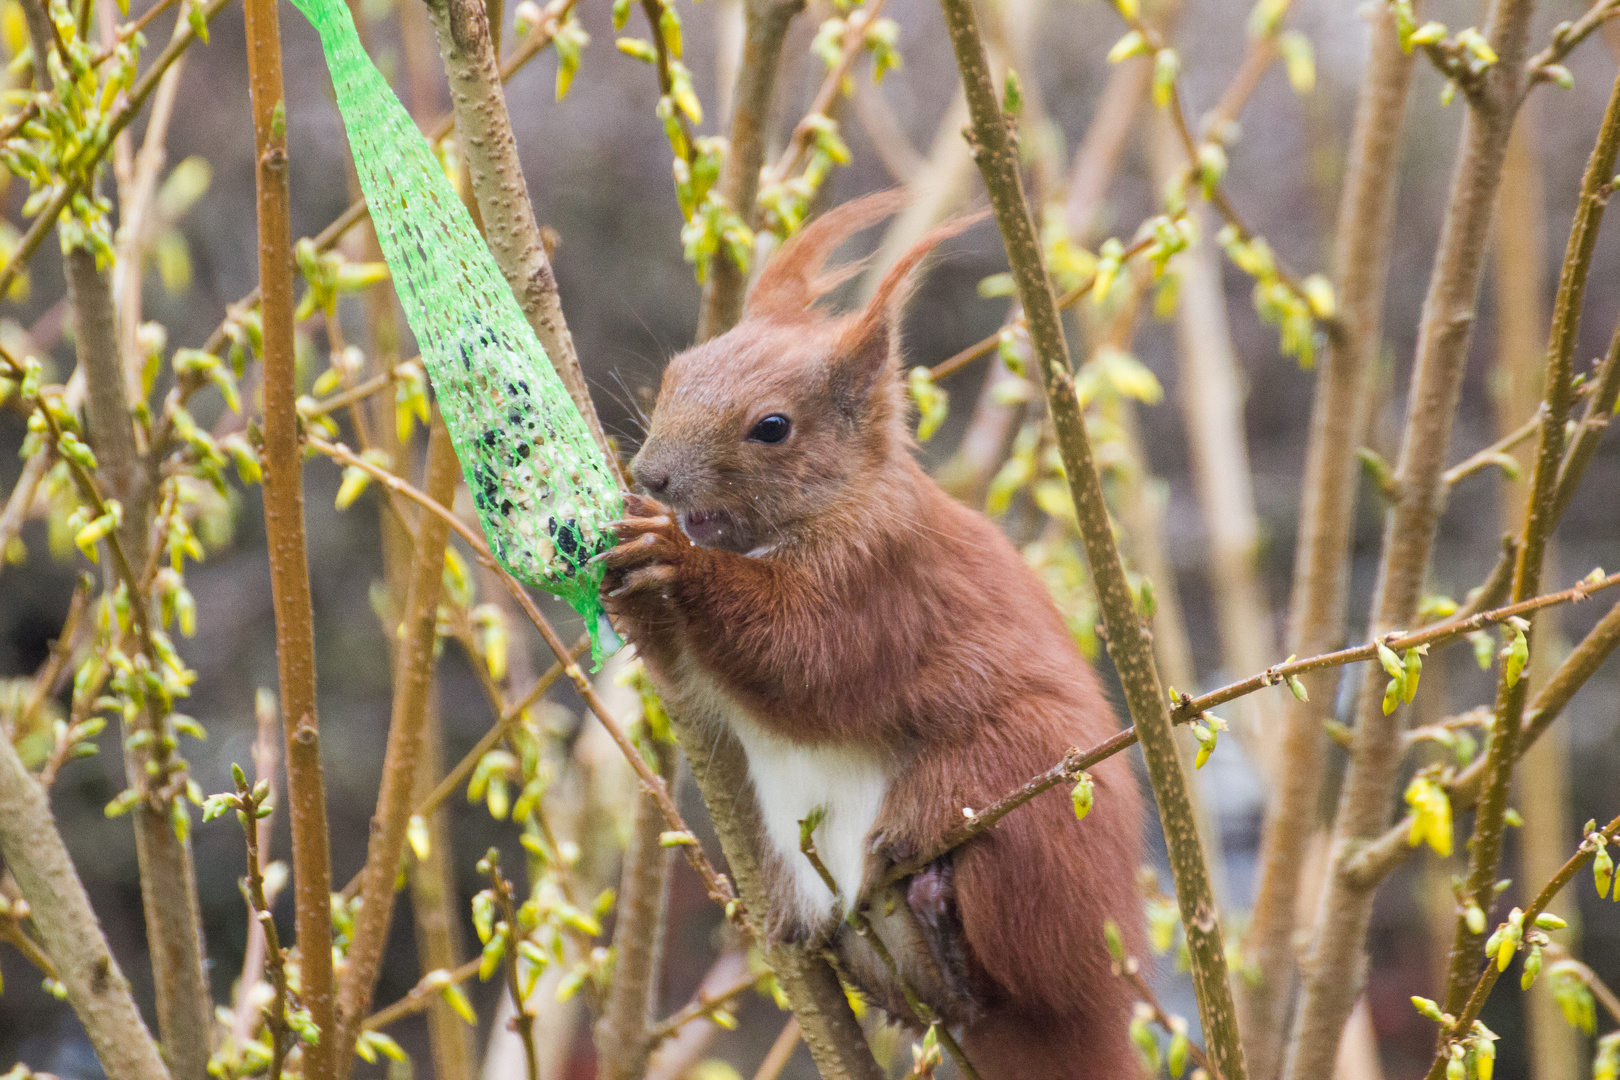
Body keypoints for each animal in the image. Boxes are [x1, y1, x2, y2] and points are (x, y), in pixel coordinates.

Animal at [602, 190, 1146, 1075]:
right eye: (679, 369)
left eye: (773, 427)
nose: (651, 474)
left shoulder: (878, 580)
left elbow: (802, 657)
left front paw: (675, 558)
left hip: (1018, 820)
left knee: (1008, 982)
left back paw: (942, 915)